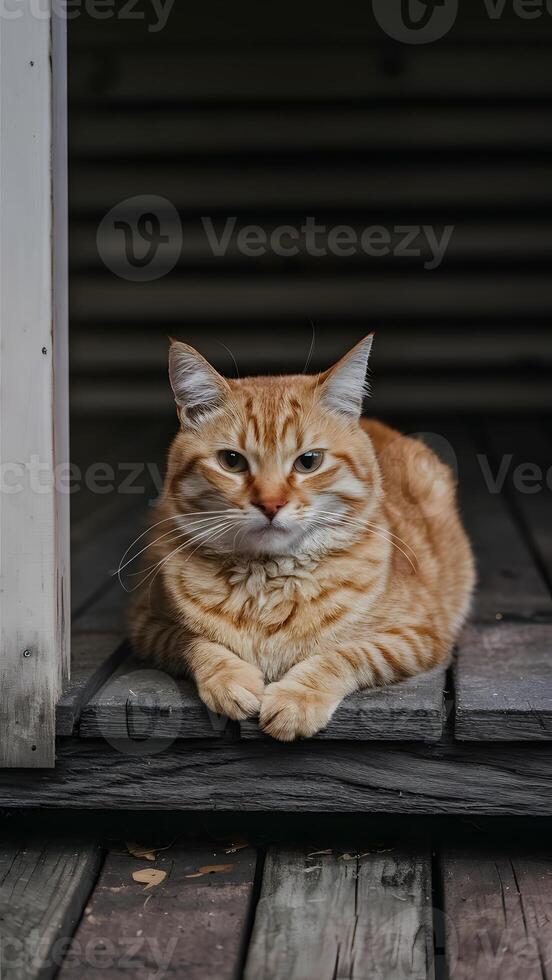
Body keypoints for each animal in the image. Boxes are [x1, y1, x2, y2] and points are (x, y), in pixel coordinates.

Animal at [129, 338, 474, 744]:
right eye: (231, 461)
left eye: (308, 461)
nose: (270, 504)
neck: (268, 578)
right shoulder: (147, 625)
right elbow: (195, 642)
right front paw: (228, 678)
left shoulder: (417, 634)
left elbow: (349, 654)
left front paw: (298, 697)